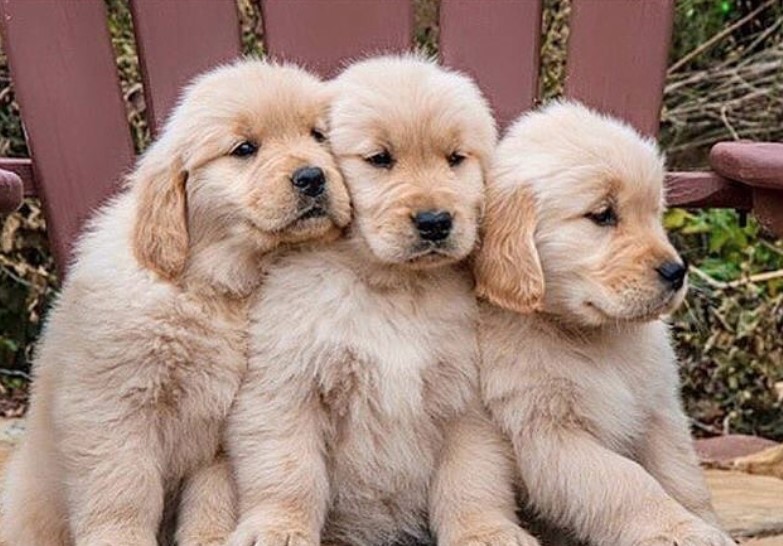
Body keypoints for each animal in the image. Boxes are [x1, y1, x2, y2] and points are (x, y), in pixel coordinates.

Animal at [0, 59, 350, 544]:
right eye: (245, 148)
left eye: (318, 135)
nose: (313, 177)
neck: (208, 287)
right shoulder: (114, 408)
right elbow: (124, 489)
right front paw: (121, 537)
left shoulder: (219, 428)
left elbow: (212, 499)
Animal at [224, 54, 536, 544]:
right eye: (379, 159)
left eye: (456, 159)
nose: (435, 221)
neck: (390, 285)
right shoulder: (288, 383)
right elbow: (289, 470)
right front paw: (279, 528)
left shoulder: (467, 399)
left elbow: (473, 476)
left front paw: (484, 531)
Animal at [474, 102, 740, 544]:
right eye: (603, 215)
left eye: (655, 213)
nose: (677, 272)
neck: (590, 335)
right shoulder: (545, 431)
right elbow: (628, 482)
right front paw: (679, 528)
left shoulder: (657, 410)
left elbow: (683, 476)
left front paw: (706, 524)